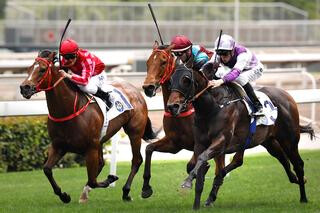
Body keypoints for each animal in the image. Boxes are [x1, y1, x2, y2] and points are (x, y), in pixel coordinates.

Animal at [19, 49, 157, 203]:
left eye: (42, 69)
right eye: (29, 69)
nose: (24, 88)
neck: (68, 110)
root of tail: (136, 91)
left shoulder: (90, 147)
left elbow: (93, 180)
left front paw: (110, 179)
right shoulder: (59, 146)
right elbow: (47, 169)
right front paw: (64, 196)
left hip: (134, 131)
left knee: (136, 160)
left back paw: (126, 191)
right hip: (101, 140)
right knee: (101, 164)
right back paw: (86, 193)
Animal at [141, 41, 226, 198]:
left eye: (163, 62)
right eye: (147, 62)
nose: (147, 87)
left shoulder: (199, 143)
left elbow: (192, 165)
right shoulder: (174, 143)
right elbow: (149, 149)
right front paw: (146, 188)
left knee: (221, 169)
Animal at [168, 64, 316, 210]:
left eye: (186, 80)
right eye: (170, 81)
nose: (172, 106)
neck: (212, 107)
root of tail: (287, 95)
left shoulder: (221, 140)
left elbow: (202, 158)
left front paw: (187, 182)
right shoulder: (200, 143)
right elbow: (198, 169)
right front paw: (196, 205)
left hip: (289, 140)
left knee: (298, 164)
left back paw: (303, 197)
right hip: (269, 141)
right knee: (281, 159)